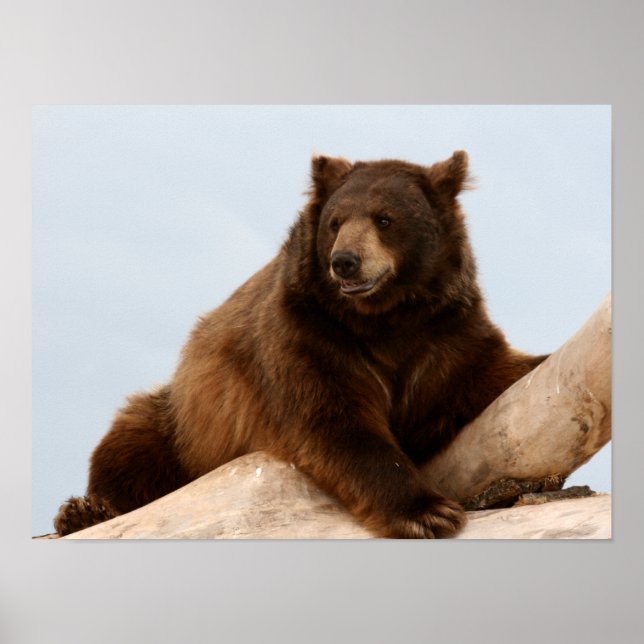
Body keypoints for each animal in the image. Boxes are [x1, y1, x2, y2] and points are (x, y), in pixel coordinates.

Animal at [54, 151, 548, 539]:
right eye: (335, 222)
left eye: (384, 219)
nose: (345, 262)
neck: (385, 317)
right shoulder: (312, 338)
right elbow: (334, 421)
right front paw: (427, 513)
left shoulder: (446, 337)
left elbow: (494, 373)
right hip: (185, 423)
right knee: (132, 441)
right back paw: (82, 511)